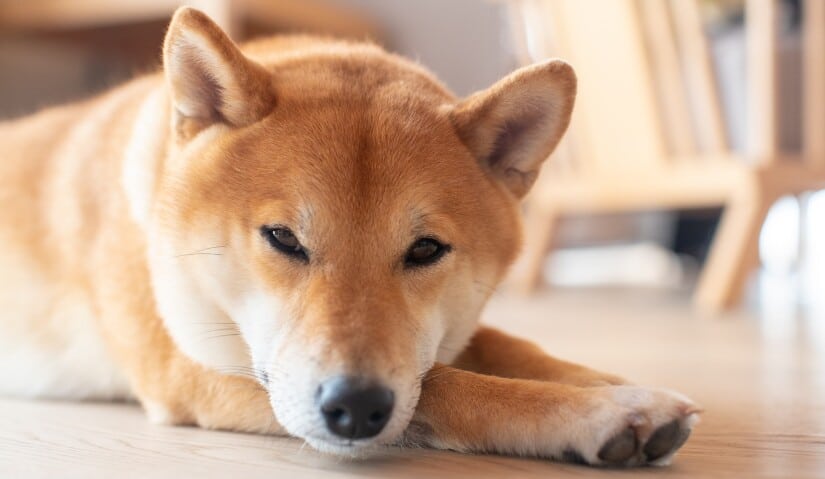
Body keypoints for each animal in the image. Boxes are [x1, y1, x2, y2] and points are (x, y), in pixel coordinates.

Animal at [0, 7, 696, 468]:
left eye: (425, 249)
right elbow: (450, 385)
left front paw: (601, 381)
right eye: (282, 238)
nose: (356, 407)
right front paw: (604, 412)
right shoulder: (190, 368)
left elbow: (503, 345)